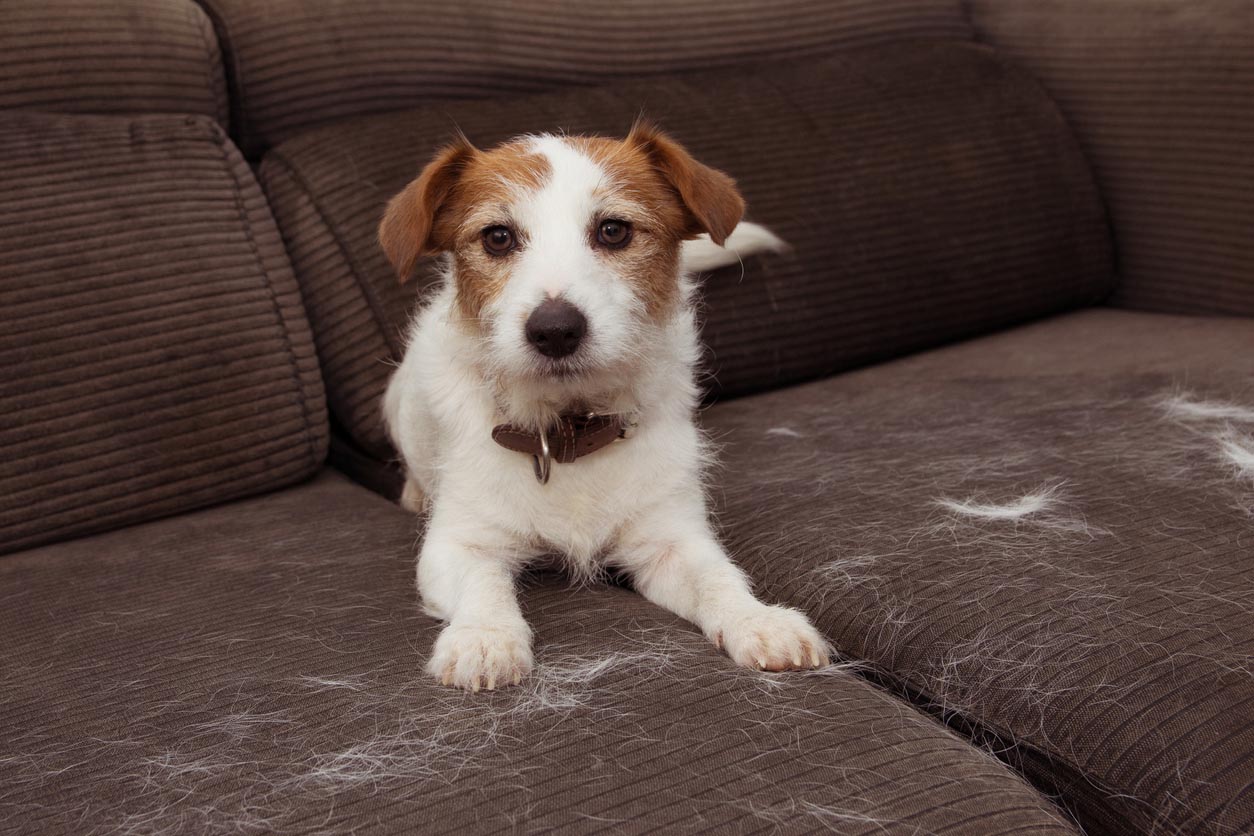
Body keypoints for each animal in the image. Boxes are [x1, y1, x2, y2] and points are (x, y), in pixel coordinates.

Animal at [381, 120, 832, 691]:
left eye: (613, 231)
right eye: (497, 237)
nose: (555, 330)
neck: (568, 430)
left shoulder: (671, 538)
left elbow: (717, 578)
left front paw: (759, 620)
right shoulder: (458, 544)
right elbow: (483, 585)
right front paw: (484, 637)